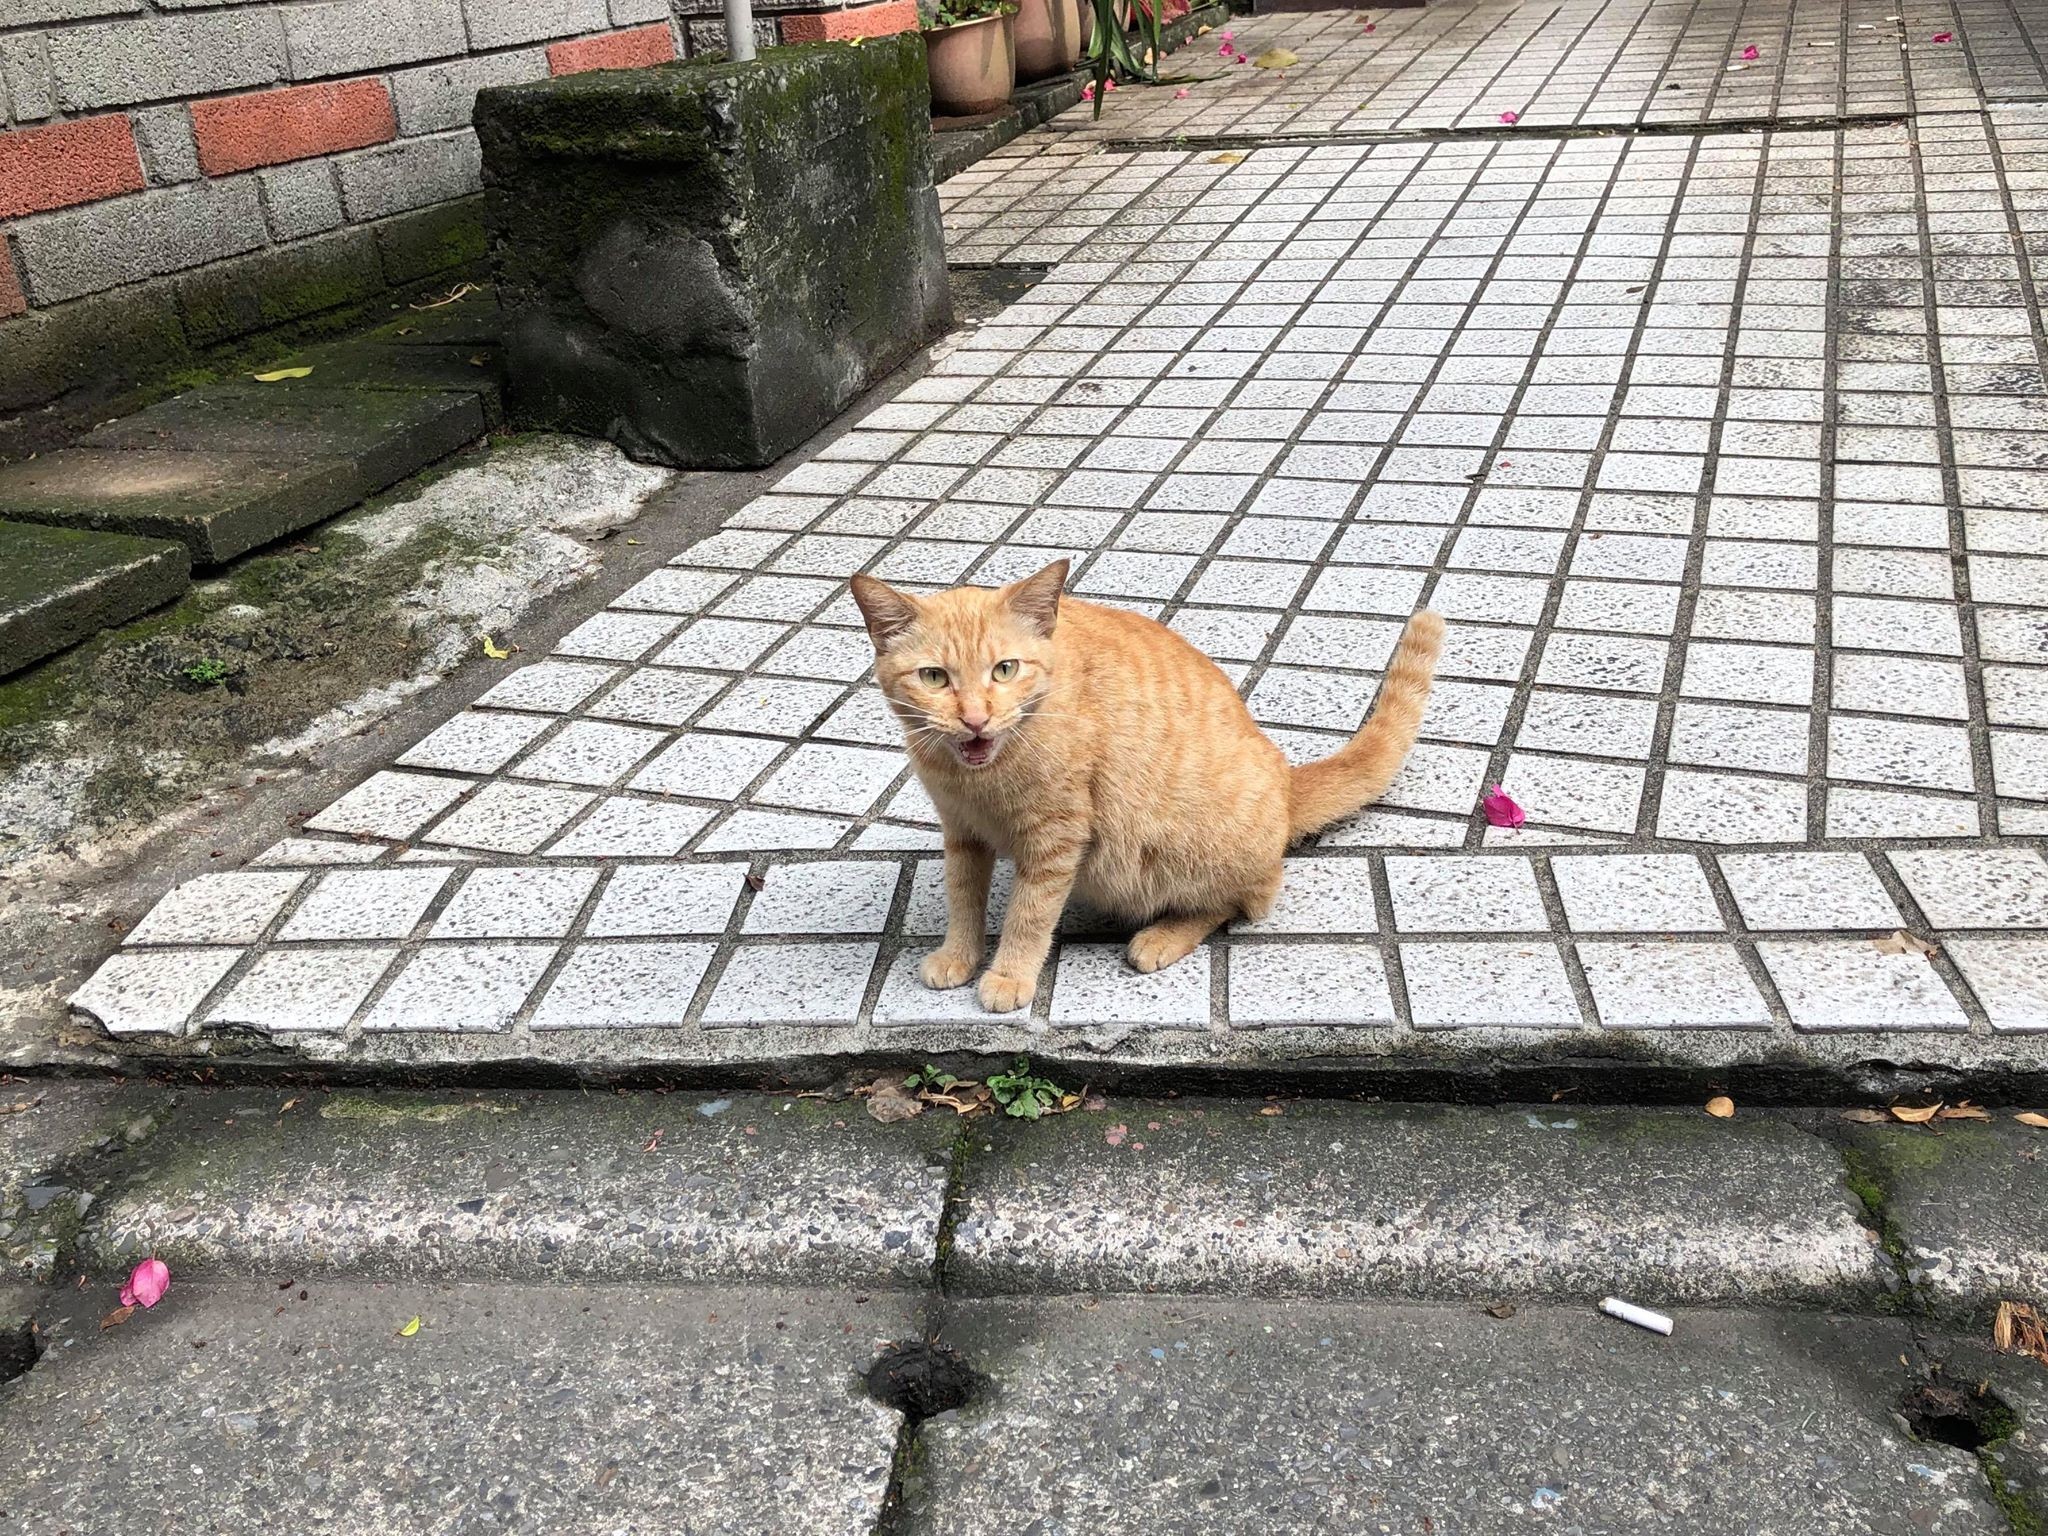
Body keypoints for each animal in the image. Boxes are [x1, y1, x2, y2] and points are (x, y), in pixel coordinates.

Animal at [847, 561, 1441, 1015]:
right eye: (934, 678)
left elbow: (1029, 914)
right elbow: (963, 897)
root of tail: (1286, 782)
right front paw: (959, 954)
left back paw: (1160, 936)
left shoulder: (1057, 839)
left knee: (1245, 897)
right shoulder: (962, 833)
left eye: (1005, 669)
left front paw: (1010, 974)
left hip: (1188, 851)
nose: (974, 718)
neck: (979, 779)